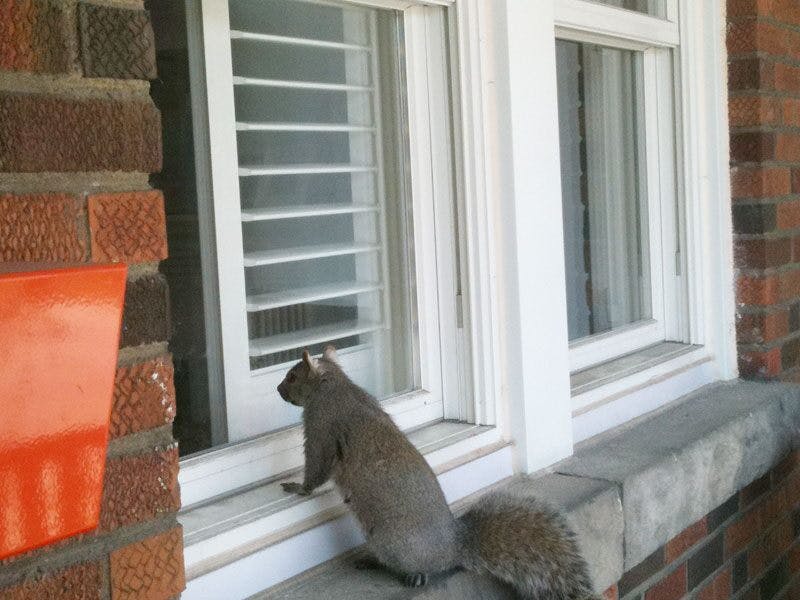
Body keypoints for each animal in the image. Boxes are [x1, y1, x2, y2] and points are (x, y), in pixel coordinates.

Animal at [278, 346, 596, 600]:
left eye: (293, 376)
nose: (279, 390)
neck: (333, 384)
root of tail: (454, 547)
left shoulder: (321, 425)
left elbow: (316, 467)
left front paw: (298, 488)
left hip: (390, 541)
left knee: (414, 566)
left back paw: (405, 572)